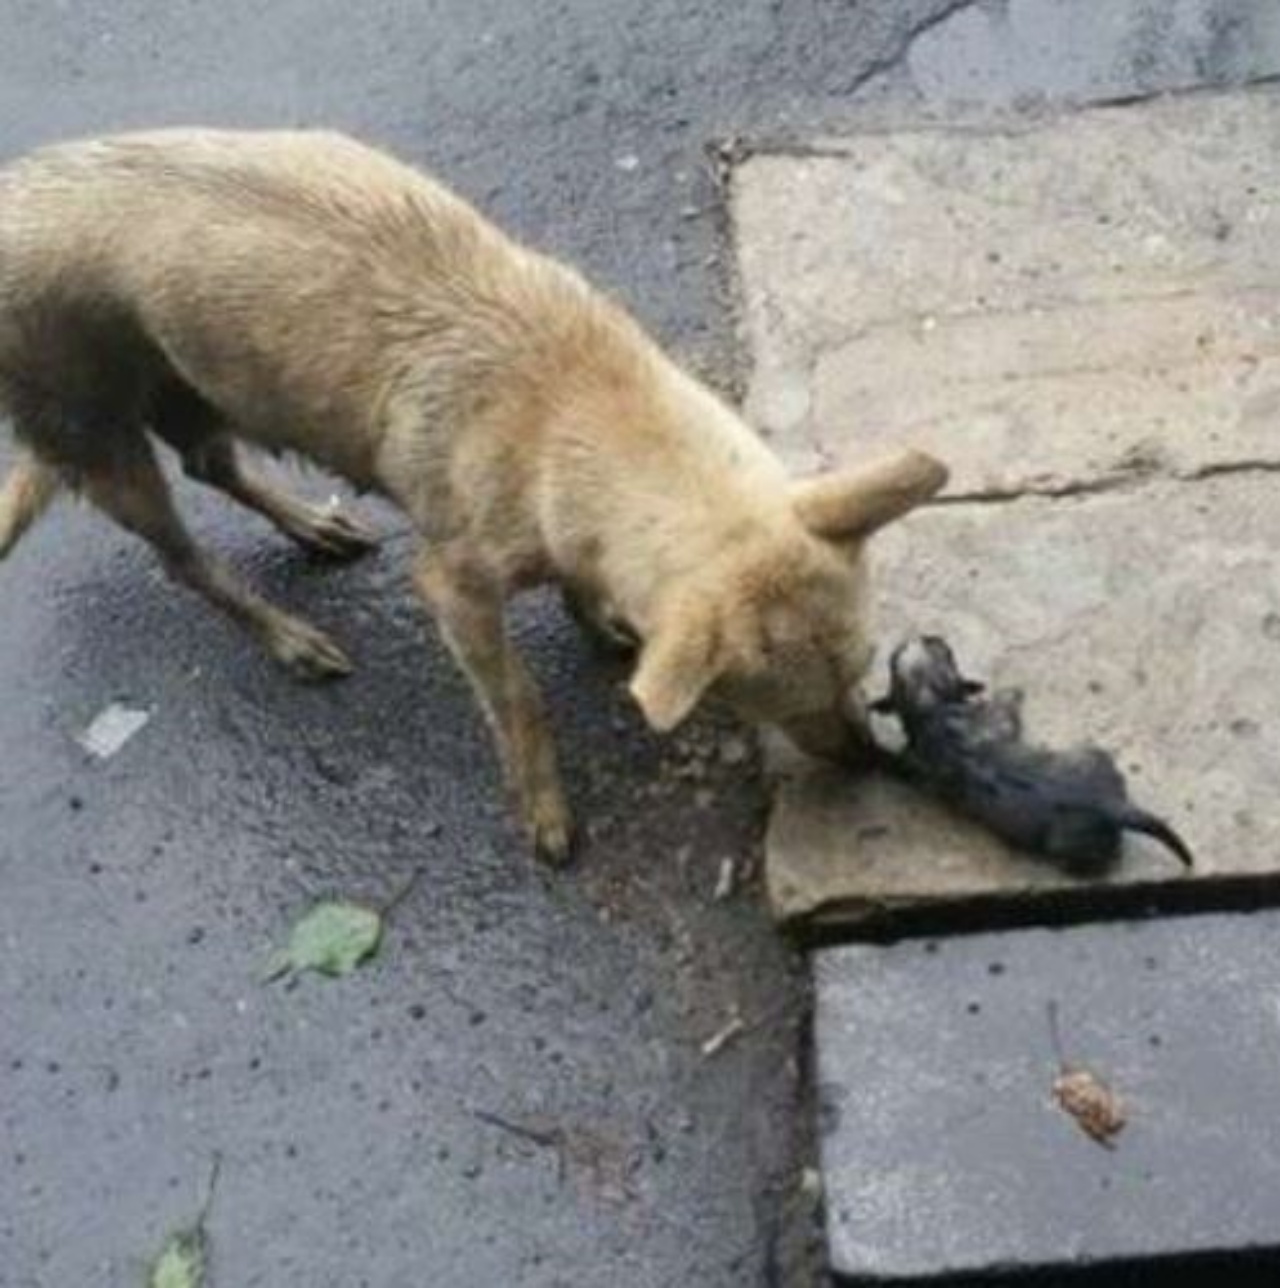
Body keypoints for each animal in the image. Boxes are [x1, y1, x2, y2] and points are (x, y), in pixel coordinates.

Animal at [0, 130, 937, 860]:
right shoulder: (454, 587)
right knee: (185, 561)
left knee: (213, 468)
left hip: (194, 385)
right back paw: (288, 638)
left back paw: (312, 528)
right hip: (99, 438)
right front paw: (545, 813)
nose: (876, 762)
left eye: (864, 669)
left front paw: (602, 624)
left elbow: (582, 589)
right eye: (779, 703)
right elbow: (519, 701)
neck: (573, 407)